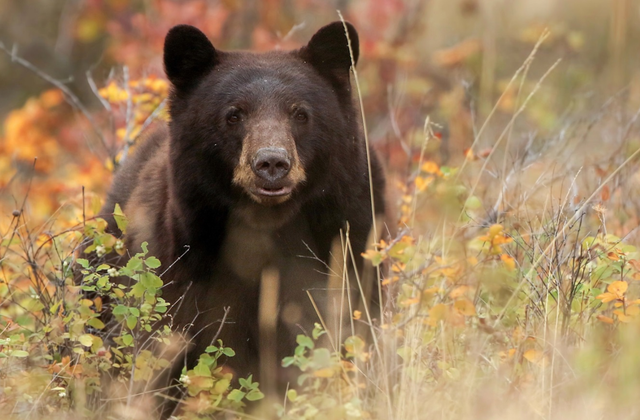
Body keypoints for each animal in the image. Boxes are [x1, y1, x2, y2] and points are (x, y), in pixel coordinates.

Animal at [100, 18, 384, 400]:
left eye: (300, 113)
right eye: (234, 115)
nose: (272, 162)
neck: (269, 229)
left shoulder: (352, 245)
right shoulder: (182, 272)